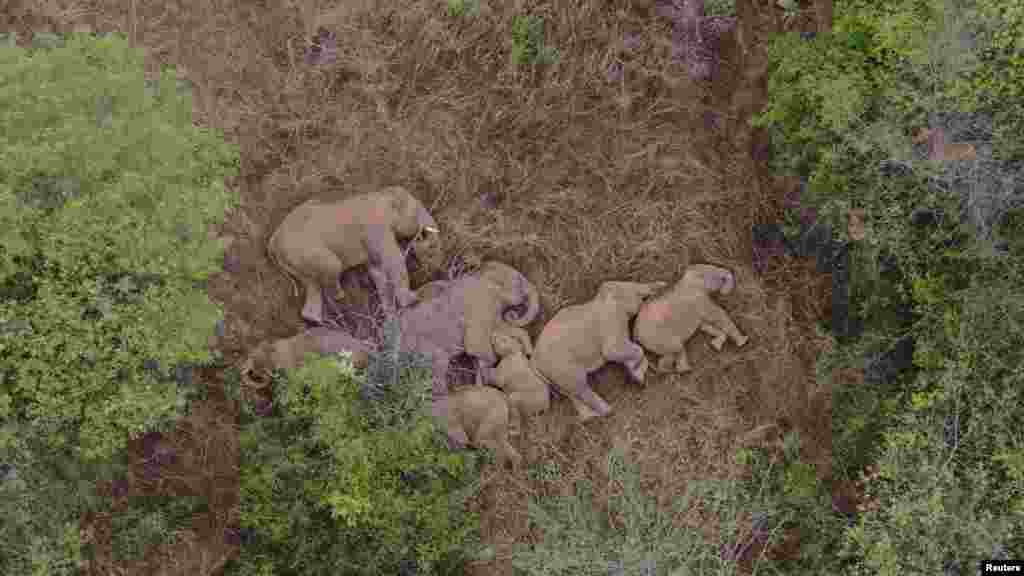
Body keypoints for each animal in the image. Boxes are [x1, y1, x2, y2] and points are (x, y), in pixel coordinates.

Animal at [266, 186, 442, 325]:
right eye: (416, 208)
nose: (425, 235)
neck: (382, 194)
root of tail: (272, 242)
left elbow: (376, 271)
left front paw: (391, 316)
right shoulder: (376, 227)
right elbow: (392, 259)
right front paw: (412, 301)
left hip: (296, 260)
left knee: (312, 285)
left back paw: (322, 323)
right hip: (306, 250)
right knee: (331, 271)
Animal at [532, 278, 667, 420]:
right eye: (632, 288)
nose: (663, 284)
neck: (601, 298)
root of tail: (534, 362)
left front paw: (637, 376)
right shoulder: (611, 322)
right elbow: (614, 351)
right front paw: (637, 375)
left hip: (555, 376)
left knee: (572, 393)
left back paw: (590, 417)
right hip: (562, 367)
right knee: (580, 387)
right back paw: (609, 411)